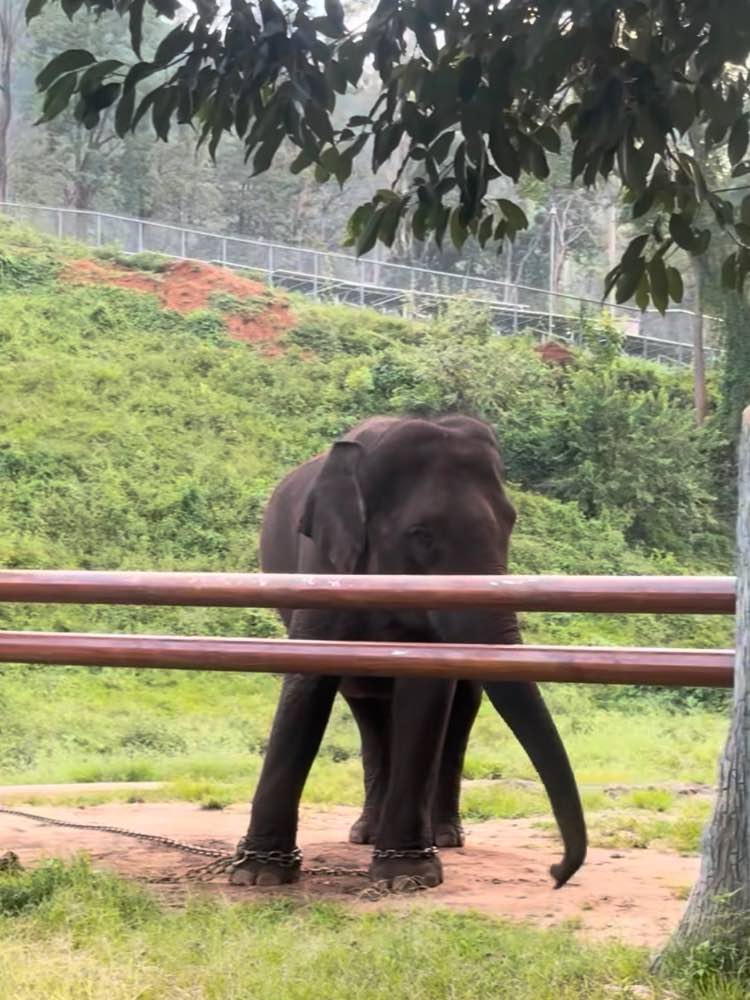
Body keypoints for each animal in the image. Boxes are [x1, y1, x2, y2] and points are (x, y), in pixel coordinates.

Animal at [230, 415, 587, 890]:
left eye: (510, 524)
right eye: (422, 534)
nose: (556, 872)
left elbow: (427, 692)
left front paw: (406, 874)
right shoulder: (323, 564)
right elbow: (307, 680)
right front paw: (258, 873)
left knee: (460, 710)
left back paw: (443, 836)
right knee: (367, 709)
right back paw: (366, 833)